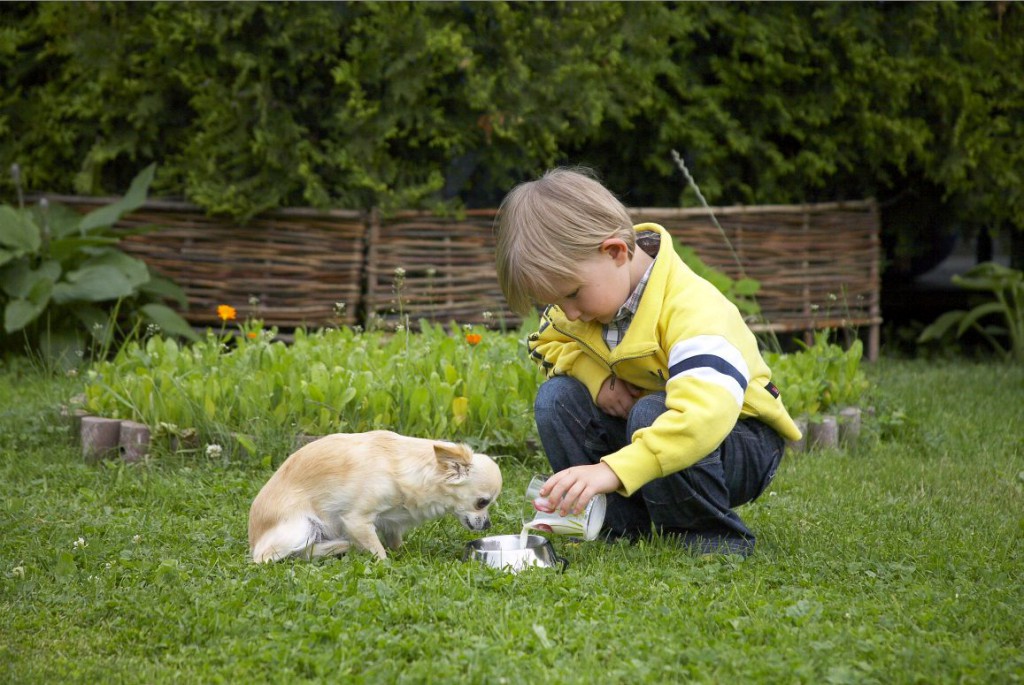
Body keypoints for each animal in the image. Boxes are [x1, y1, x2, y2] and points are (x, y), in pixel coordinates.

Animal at [248, 430, 503, 565]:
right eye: (482, 502)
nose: (488, 524)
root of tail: (253, 539)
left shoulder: (392, 523)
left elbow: (394, 540)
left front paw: (401, 553)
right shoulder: (356, 520)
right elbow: (377, 550)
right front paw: (387, 564)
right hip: (301, 528)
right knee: (271, 556)